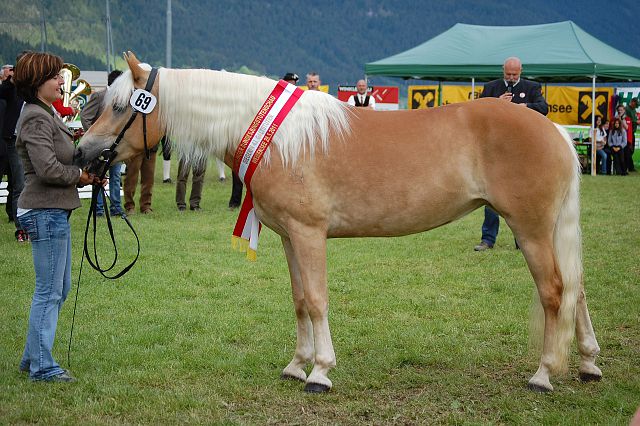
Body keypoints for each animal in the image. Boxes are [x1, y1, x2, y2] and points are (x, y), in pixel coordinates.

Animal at [75, 52, 600, 392]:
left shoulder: (310, 234)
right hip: (546, 231)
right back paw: (589, 364)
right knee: (577, 290)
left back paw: (544, 374)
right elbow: (299, 301)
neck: (279, 138)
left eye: (120, 107)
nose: (82, 154)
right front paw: (296, 364)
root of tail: (553, 128)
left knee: (555, 291)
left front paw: (321, 372)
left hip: (530, 230)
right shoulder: (289, 238)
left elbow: (317, 299)